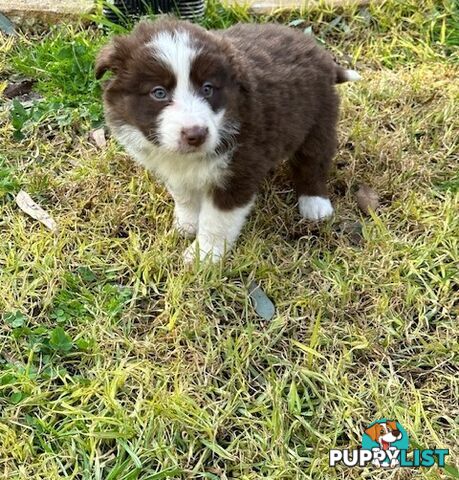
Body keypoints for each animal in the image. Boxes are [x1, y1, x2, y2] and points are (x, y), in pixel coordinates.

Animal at [95, 17, 362, 262]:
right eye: (158, 93)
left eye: (208, 89)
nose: (196, 134)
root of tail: (320, 54)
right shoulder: (177, 170)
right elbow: (184, 197)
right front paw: (186, 226)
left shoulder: (238, 171)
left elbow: (217, 220)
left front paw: (203, 256)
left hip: (318, 121)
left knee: (313, 162)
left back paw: (315, 205)